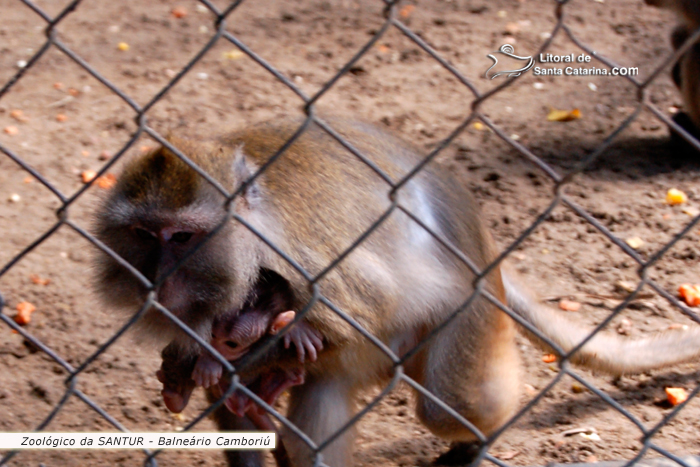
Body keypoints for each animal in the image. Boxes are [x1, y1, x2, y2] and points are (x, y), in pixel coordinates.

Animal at [93, 119, 700, 467]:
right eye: (144, 235)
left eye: (182, 237)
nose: (159, 278)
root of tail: (481, 241)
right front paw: (201, 369)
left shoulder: (299, 250)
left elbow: (366, 302)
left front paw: (249, 358)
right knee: (318, 409)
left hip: (468, 307)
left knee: (452, 403)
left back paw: (476, 437)